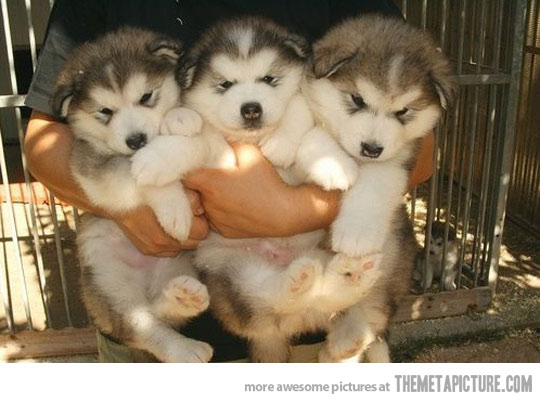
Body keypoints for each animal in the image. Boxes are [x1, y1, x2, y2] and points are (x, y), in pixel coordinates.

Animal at [52, 27, 213, 362]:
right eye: (105, 111)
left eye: (146, 97)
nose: (136, 140)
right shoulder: (91, 166)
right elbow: (136, 175)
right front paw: (174, 207)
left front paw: (180, 116)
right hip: (106, 280)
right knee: (138, 324)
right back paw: (183, 349)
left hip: (179, 264)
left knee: (159, 312)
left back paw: (183, 298)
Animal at [294, 15, 456, 362]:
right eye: (357, 99)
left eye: (403, 111)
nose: (371, 148)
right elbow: (312, 132)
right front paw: (332, 165)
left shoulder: (400, 157)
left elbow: (376, 184)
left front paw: (357, 233)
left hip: (385, 279)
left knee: (368, 329)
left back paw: (344, 342)